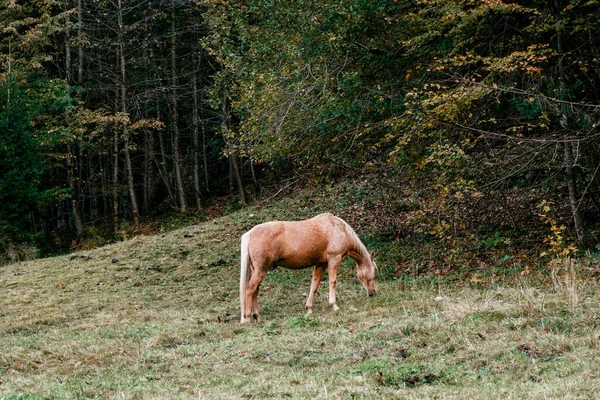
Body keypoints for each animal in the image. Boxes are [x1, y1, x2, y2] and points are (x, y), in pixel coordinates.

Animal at [238, 214, 376, 324]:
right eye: (374, 272)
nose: (373, 293)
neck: (339, 228)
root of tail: (250, 233)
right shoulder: (334, 259)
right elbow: (332, 282)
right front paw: (333, 305)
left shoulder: (321, 264)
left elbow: (314, 285)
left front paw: (309, 308)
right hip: (261, 270)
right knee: (250, 289)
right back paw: (247, 318)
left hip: (257, 270)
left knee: (255, 290)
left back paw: (257, 316)